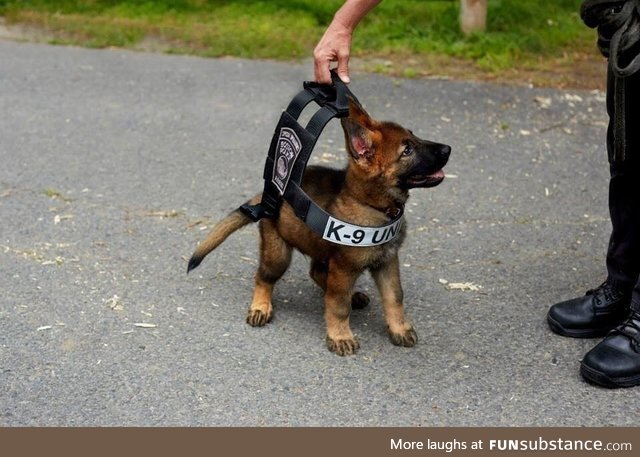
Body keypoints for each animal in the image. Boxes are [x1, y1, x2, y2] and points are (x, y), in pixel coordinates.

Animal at [190, 99, 450, 356]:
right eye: (407, 151)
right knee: (264, 277)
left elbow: (394, 297)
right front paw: (340, 335)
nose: (448, 149)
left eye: (414, 137)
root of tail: (266, 196)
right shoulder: (344, 269)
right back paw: (261, 306)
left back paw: (351, 295)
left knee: (317, 273)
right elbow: (338, 305)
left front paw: (399, 328)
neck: (372, 206)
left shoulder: (387, 262)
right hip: (278, 254)